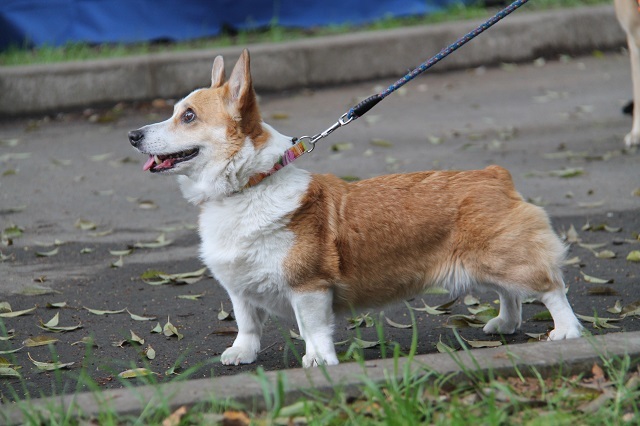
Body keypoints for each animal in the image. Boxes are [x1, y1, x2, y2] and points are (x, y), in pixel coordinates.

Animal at [127, 51, 584, 368]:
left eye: (188, 116)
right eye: (174, 112)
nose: (132, 135)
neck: (248, 188)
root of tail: (494, 174)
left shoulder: (308, 286)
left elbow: (313, 327)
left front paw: (318, 361)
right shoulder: (238, 287)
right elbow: (247, 322)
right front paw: (242, 354)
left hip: (505, 257)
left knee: (550, 287)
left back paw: (566, 331)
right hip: (488, 263)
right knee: (511, 293)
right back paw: (505, 324)